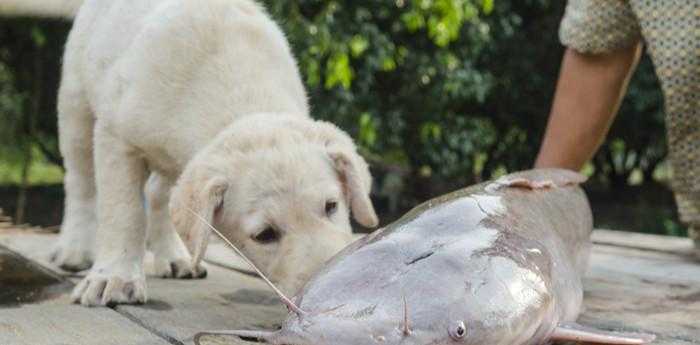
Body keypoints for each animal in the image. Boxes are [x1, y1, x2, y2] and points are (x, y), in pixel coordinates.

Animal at [9, 0, 378, 306]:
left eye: (331, 206)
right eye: (264, 235)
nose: (335, 288)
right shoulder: (117, 139)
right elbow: (124, 212)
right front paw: (114, 277)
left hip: (173, 160)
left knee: (161, 195)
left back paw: (175, 257)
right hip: (76, 104)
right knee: (81, 181)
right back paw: (74, 249)